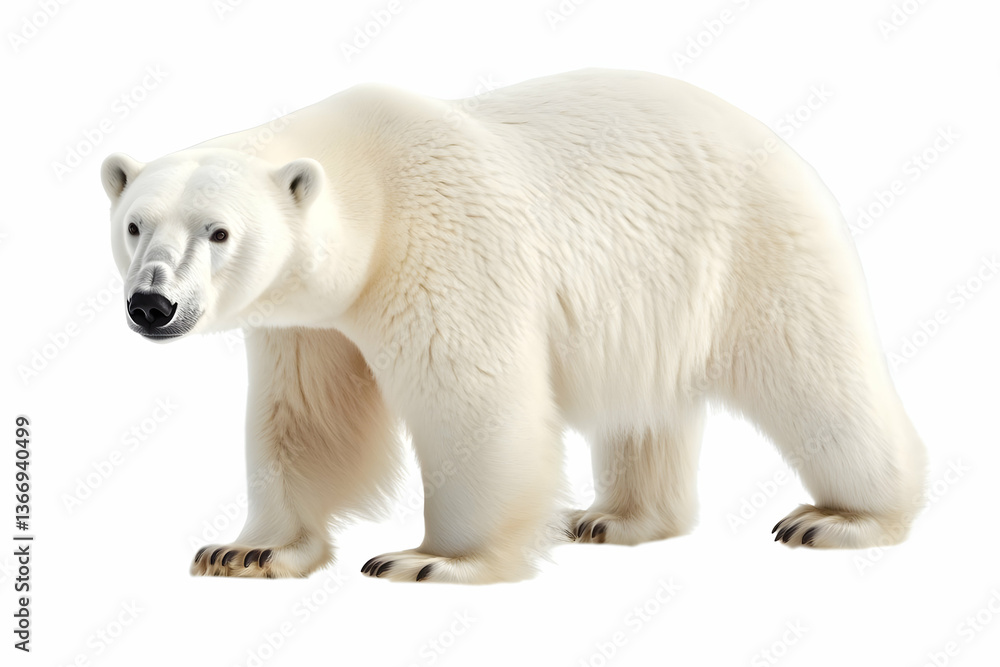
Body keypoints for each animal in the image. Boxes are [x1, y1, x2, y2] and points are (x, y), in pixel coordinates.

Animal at [100, 68, 927, 584]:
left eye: (219, 232)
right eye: (134, 224)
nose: (152, 305)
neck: (369, 182)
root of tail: (781, 142)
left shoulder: (442, 246)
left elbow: (471, 401)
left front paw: (433, 559)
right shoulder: (308, 321)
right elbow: (304, 419)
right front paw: (245, 551)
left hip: (753, 246)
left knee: (813, 374)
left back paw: (842, 515)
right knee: (645, 409)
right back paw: (612, 518)